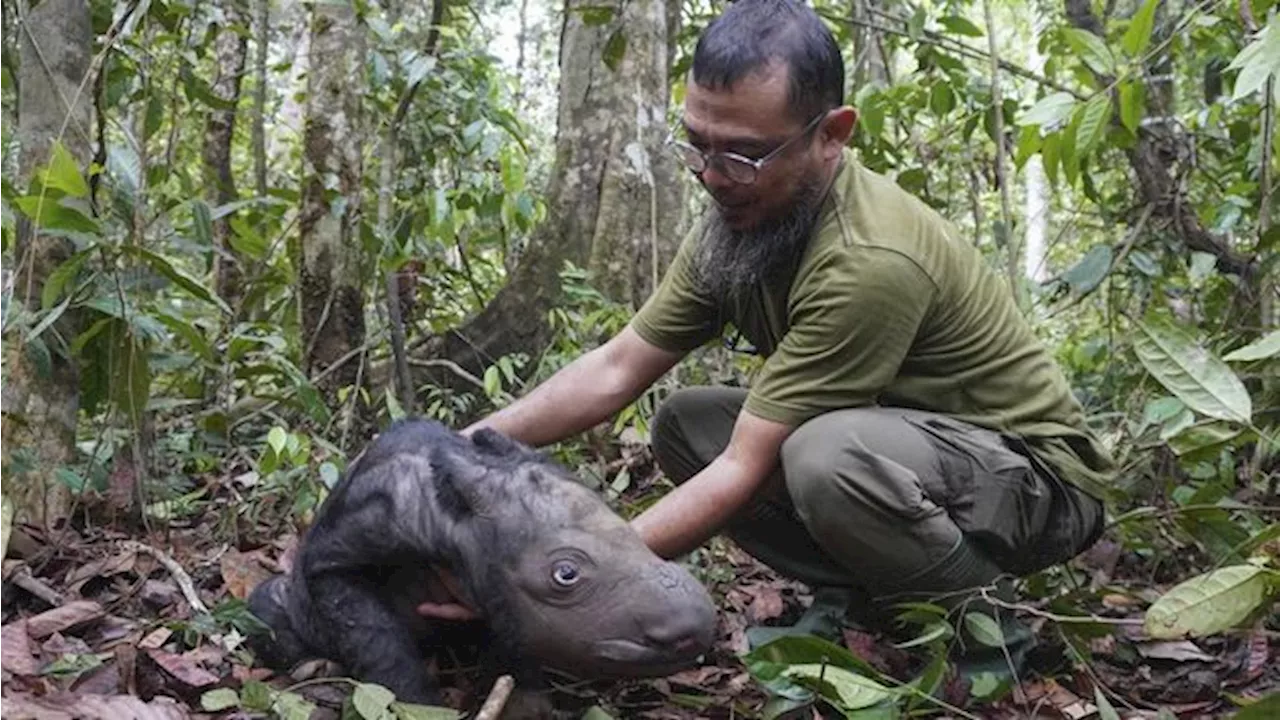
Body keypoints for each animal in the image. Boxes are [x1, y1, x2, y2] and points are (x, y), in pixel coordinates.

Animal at [244, 415, 716, 707]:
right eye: (565, 574)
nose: (696, 628)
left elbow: (511, 642)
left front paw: (526, 703)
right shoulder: (342, 550)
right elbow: (372, 631)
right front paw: (419, 704)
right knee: (265, 605)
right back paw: (312, 666)